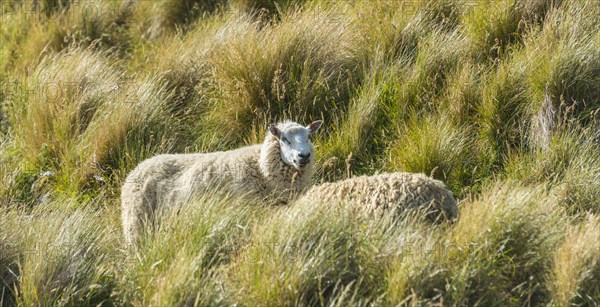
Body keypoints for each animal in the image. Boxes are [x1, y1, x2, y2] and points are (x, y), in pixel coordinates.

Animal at [121, 119, 324, 243]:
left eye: (309, 136)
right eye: (284, 139)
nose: (304, 156)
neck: (260, 169)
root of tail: (138, 167)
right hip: (136, 224)